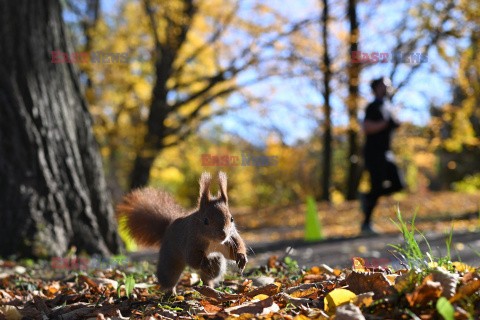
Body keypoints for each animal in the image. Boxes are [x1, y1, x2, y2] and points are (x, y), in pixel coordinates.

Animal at [116, 171, 248, 294]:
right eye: (205, 221)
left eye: (232, 219)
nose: (223, 235)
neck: (213, 242)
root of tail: (168, 227)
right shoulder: (191, 241)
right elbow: (193, 259)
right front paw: (205, 263)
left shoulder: (230, 240)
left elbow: (234, 250)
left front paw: (241, 257)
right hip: (170, 260)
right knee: (168, 277)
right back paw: (171, 292)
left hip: (217, 262)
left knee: (210, 276)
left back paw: (209, 286)